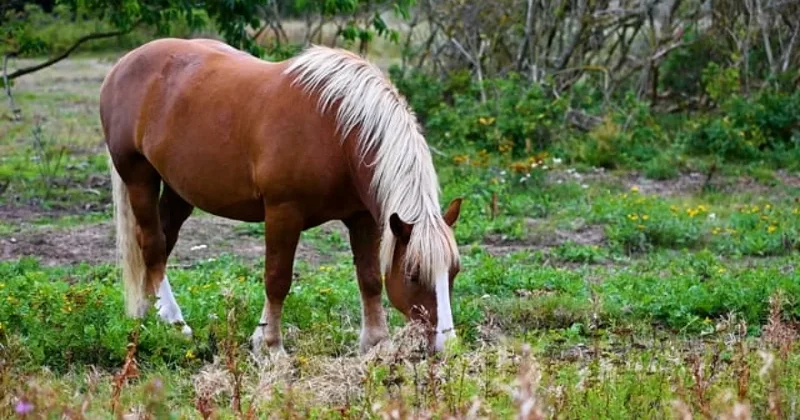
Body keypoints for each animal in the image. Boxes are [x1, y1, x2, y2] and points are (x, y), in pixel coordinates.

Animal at [99, 38, 463, 354]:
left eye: (453, 272)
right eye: (414, 275)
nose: (447, 346)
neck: (336, 131)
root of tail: (122, 65)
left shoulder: (363, 218)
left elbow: (370, 278)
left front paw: (376, 343)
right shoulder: (283, 212)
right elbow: (277, 279)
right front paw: (270, 346)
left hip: (178, 189)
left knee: (161, 241)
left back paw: (147, 313)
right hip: (139, 177)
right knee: (153, 244)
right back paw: (175, 322)